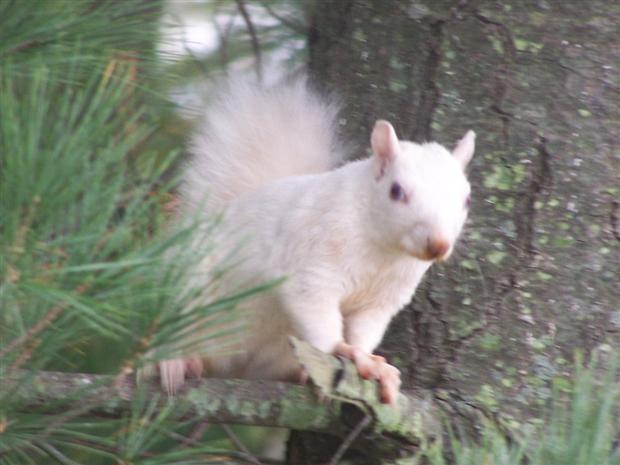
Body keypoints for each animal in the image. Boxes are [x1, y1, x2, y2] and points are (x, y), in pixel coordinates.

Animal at [156, 77, 474, 402]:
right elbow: (316, 313)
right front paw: (343, 349)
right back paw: (173, 363)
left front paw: (372, 363)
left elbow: (365, 329)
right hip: (185, 287)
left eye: (466, 200)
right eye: (396, 191)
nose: (438, 244)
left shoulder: (382, 299)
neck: (383, 251)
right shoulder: (312, 264)